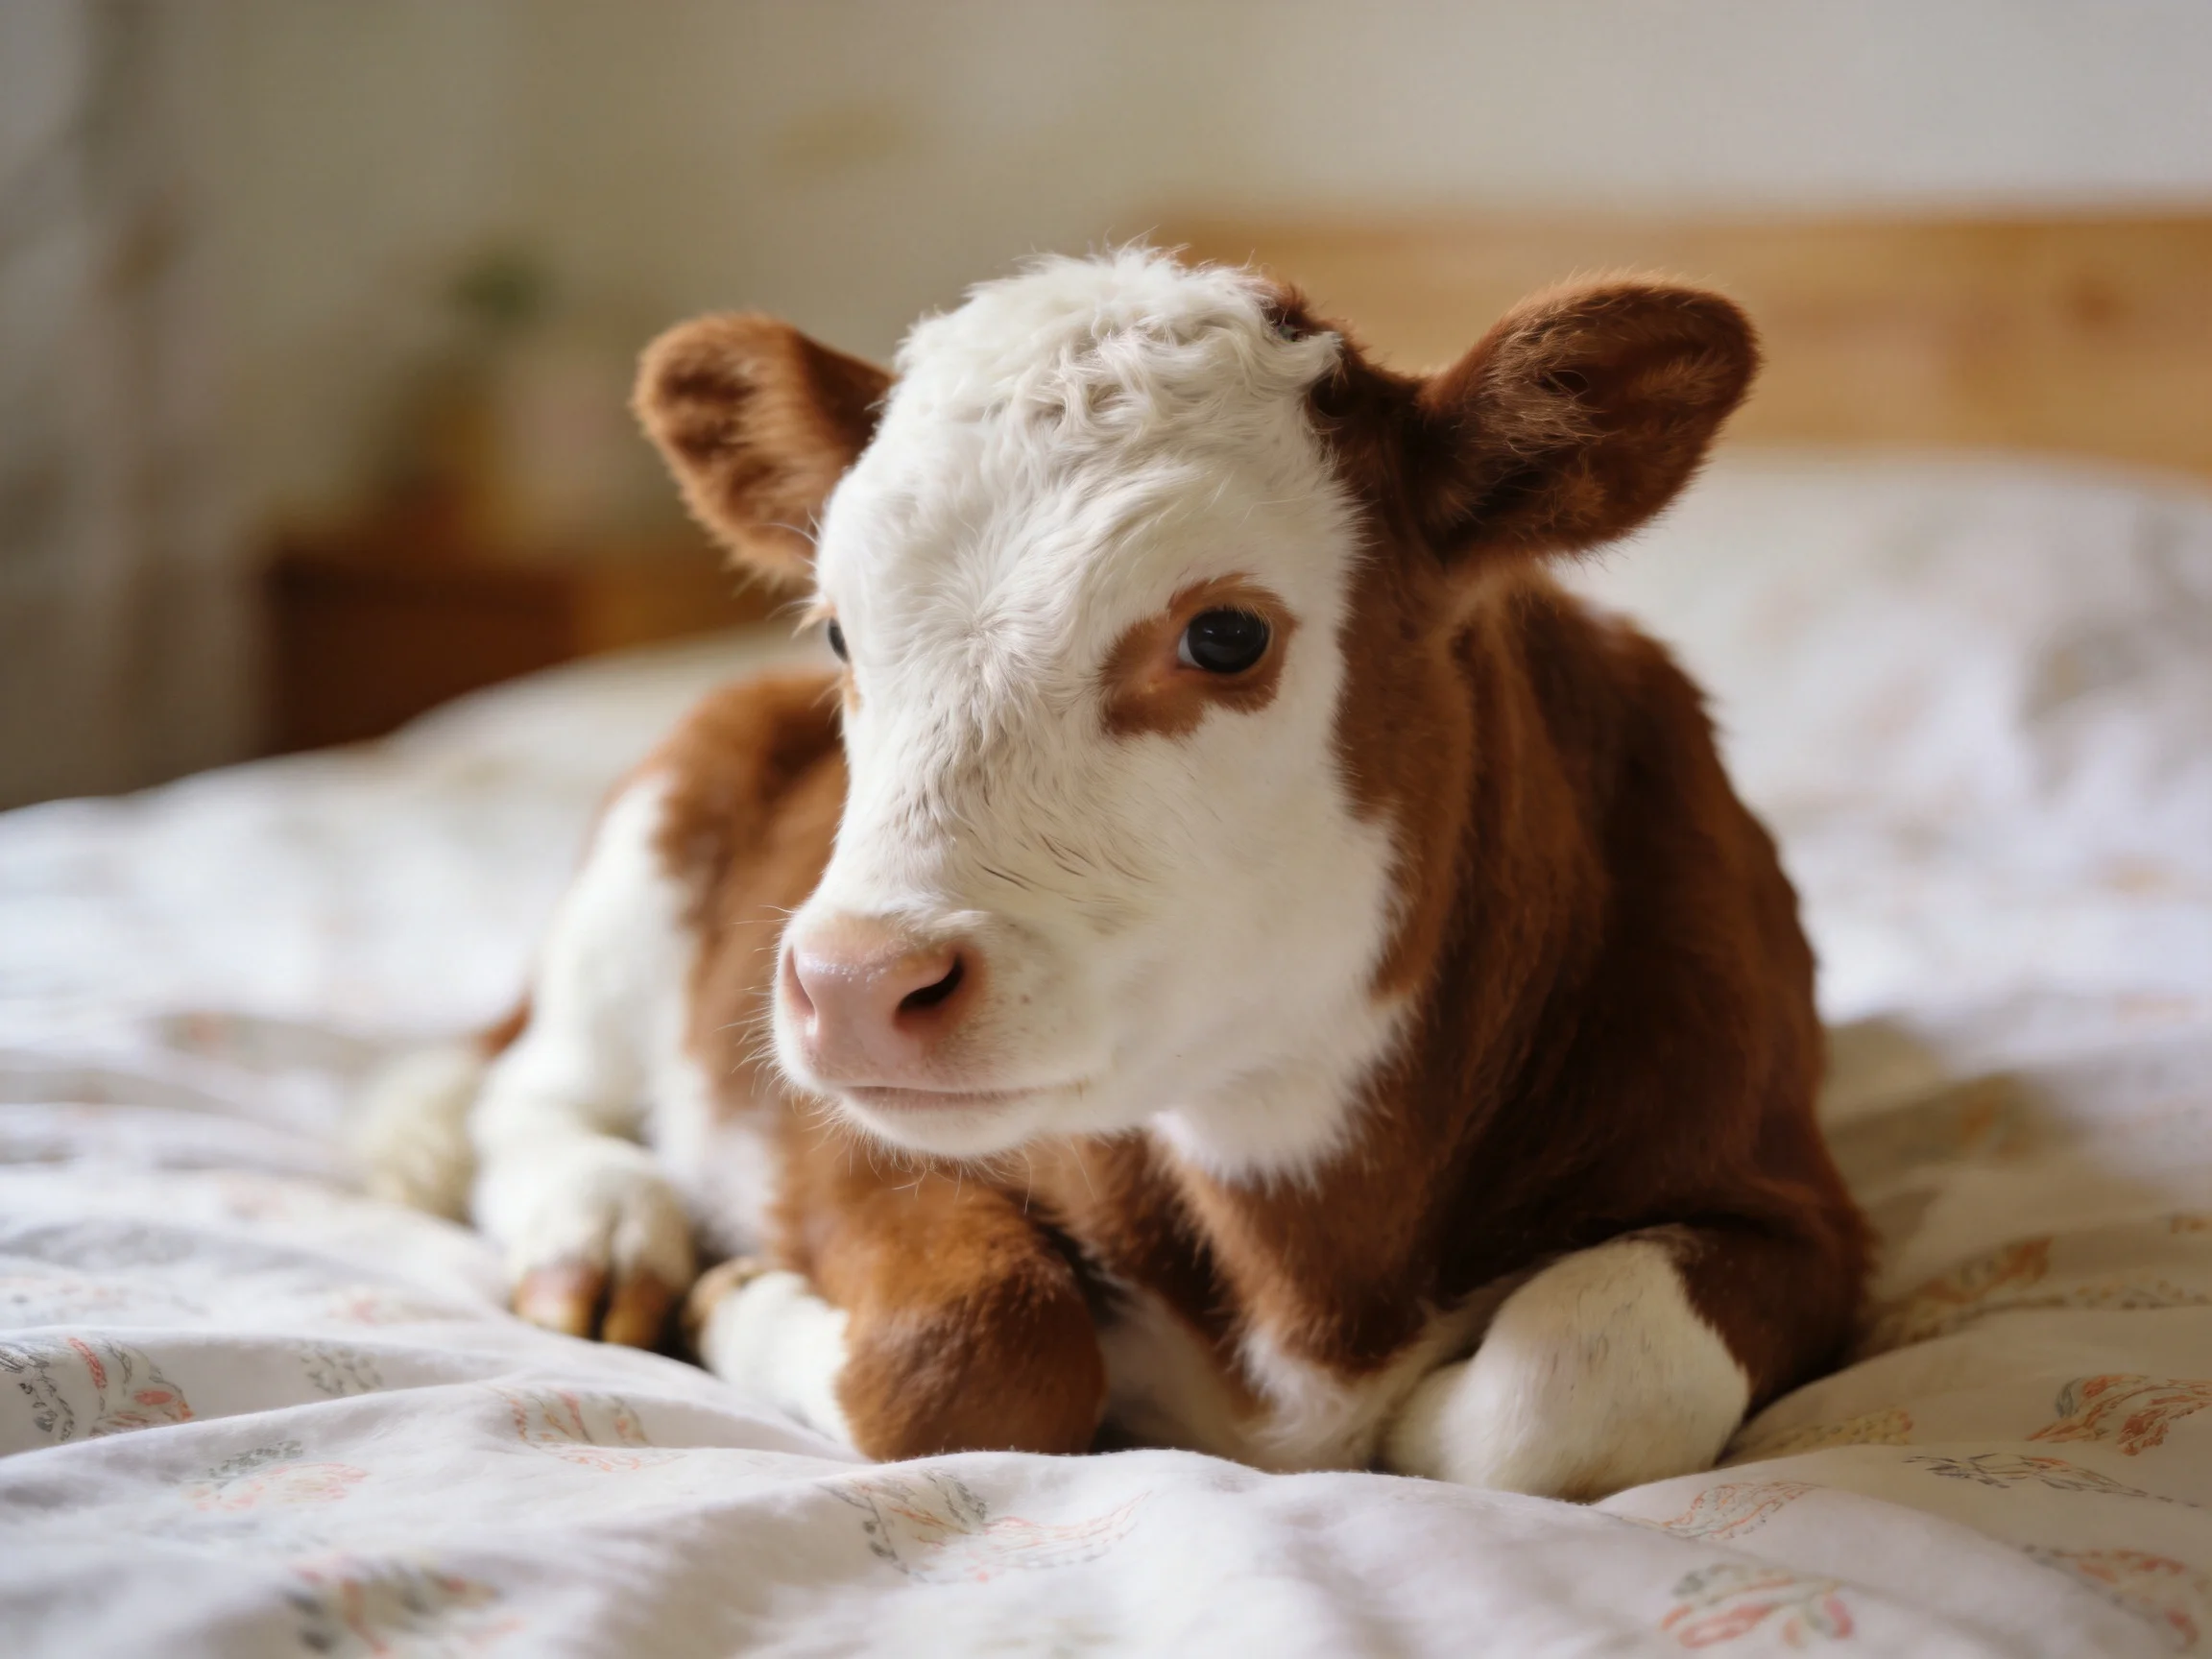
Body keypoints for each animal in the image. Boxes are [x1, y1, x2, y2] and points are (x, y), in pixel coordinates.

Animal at [360, 248, 1865, 1500]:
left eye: (1224, 635)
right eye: (840, 631)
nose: (851, 984)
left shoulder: (1792, 1204)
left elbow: (1560, 1394)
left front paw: (1433, 1411)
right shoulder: (841, 1149)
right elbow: (977, 1353)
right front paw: (741, 1298)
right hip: (664, 819)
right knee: (529, 1091)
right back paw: (605, 1233)